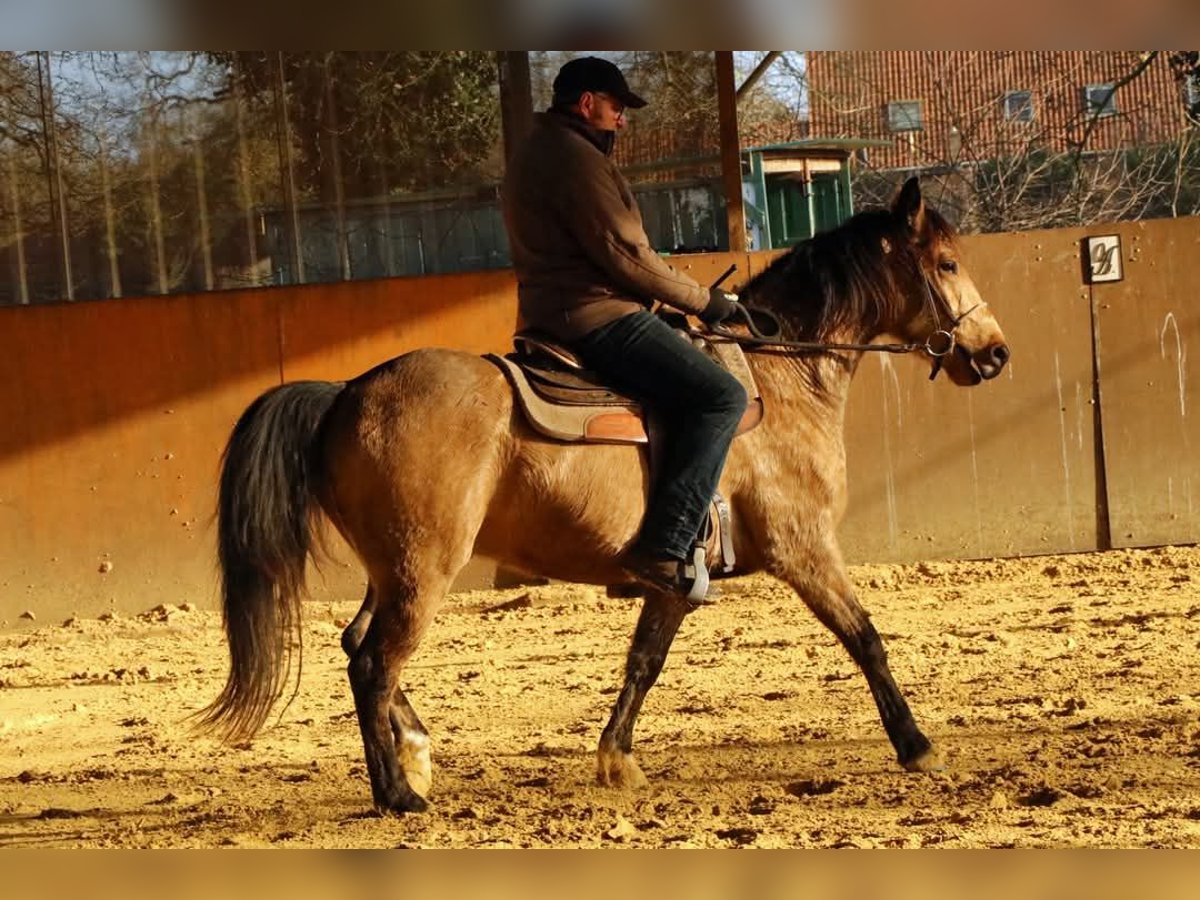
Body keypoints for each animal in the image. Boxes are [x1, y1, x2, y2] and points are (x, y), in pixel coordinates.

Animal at [198, 177, 1010, 814]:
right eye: (945, 263)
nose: (995, 352)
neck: (779, 380)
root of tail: (345, 393)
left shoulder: (676, 579)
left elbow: (643, 662)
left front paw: (616, 758)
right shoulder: (804, 548)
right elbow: (865, 637)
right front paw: (917, 745)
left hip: (393, 568)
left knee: (359, 645)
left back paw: (417, 754)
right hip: (421, 569)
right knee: (373, 662)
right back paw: (397, 794)